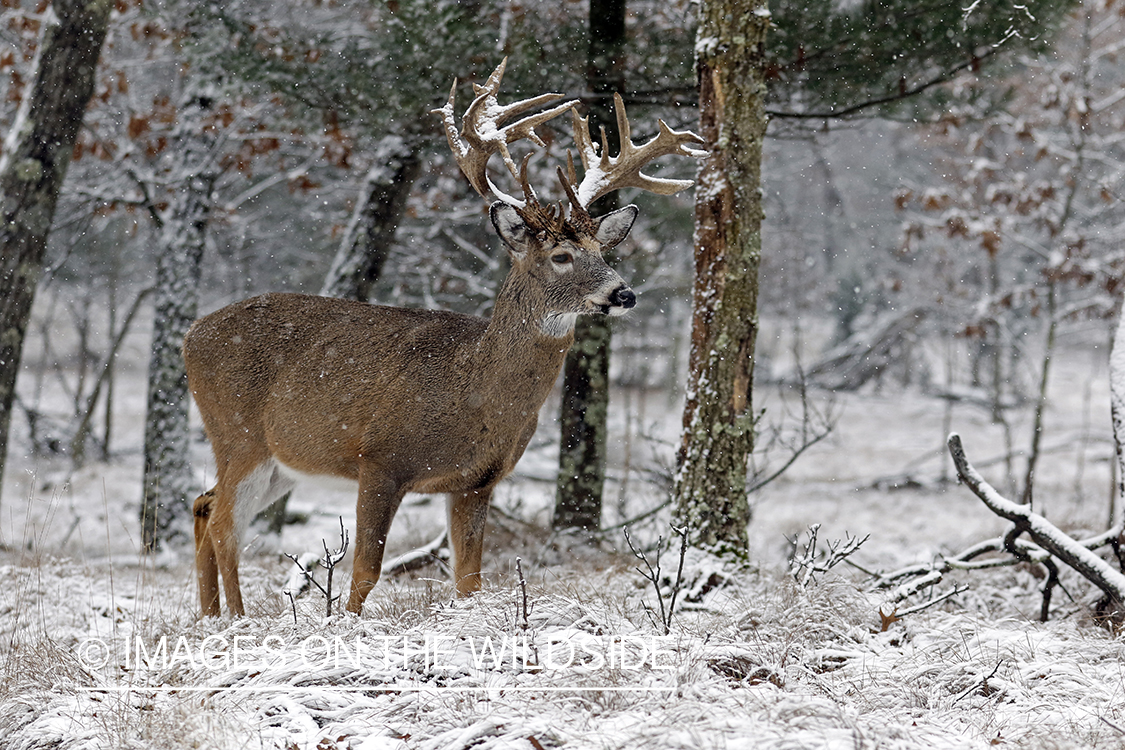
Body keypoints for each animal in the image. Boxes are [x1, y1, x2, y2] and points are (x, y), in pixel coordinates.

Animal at [184, 58, 704, 617]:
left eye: (603, 251)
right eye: (561, 256)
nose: (623, 293)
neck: (472, 391)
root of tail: (191, 334)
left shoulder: (478, 480)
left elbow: (469, 579)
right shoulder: (381, 459)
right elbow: (365, 572)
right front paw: (346, 625)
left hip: (282, 460)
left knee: (204, 504)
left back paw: (210, 617)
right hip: (238, 433)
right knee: (224, 521)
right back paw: (237, 618)